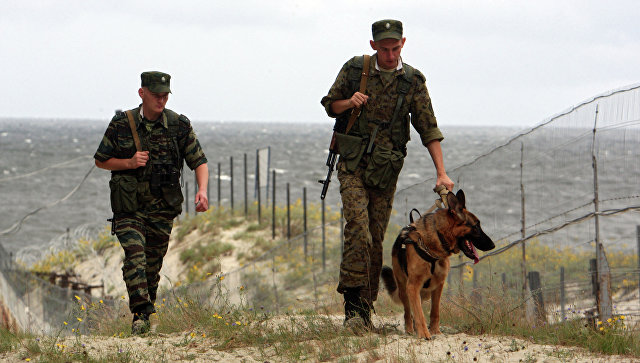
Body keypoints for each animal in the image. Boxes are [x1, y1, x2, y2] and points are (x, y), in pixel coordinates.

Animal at [380, 191, 496, 342]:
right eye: (476, 227)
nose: (493, 245)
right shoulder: (413, 286)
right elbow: (419, 313)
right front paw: (424, 333)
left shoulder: (438, 286)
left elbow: (434, 311)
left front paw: (435, 331)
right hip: (404, 289)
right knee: (407, 311)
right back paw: (410, 330)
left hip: (424, 292)